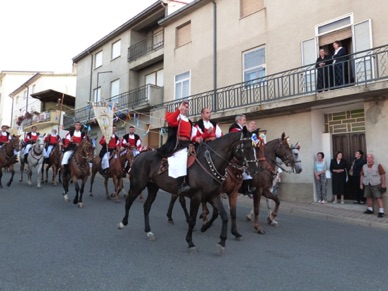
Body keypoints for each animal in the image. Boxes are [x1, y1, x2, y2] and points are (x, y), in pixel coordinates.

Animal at [118, 129, 258, 254]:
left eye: (254, 147)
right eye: (247, 147)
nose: (255, 169)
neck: (209, 163)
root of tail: (138, 156)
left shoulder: (213, 196)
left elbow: (224, 216)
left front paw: (222, 242)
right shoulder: (197, 197)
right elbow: (192, 219)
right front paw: (190, 242)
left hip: (153, 187)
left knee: (147, 206)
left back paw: (148, 231)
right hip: (138, 185)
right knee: (129, 201)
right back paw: (123, 222)